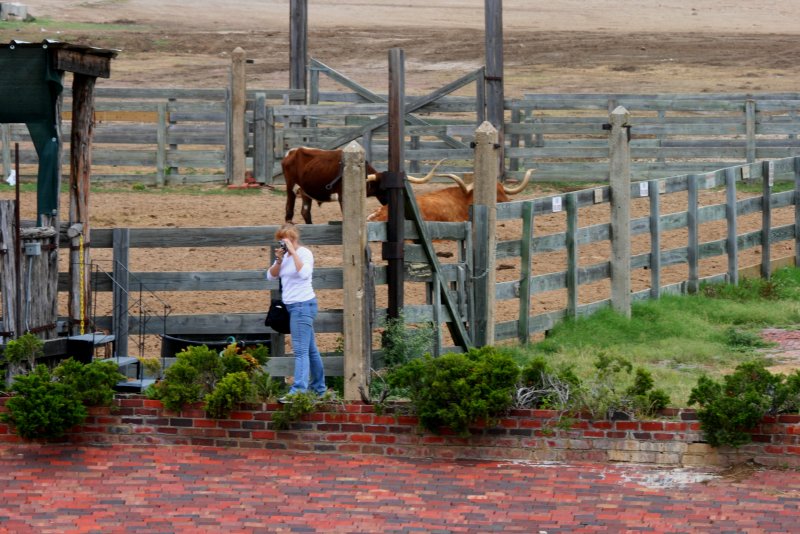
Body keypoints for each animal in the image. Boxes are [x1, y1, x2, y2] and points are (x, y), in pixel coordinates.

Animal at [282, 147, 444, 224]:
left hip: (305, 192)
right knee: (289, 211)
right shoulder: (343, 198)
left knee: (305, 212)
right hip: (291, 188)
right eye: (383, 189)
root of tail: (292, 152)